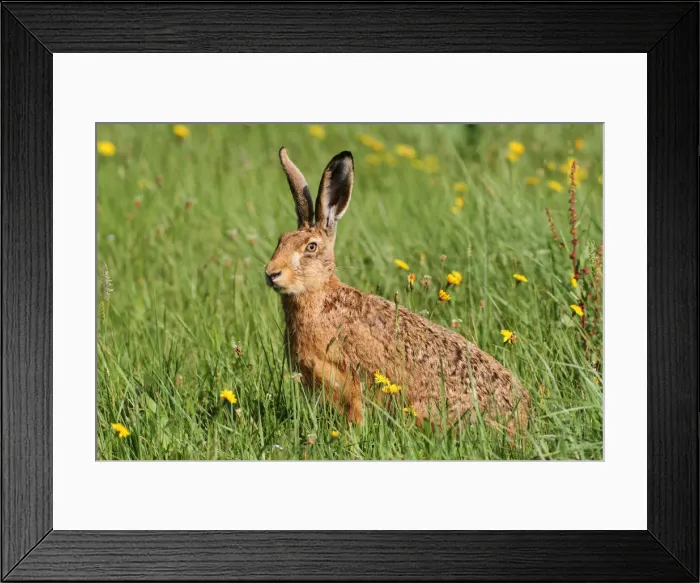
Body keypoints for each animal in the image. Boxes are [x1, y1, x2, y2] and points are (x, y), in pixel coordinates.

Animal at [265, 147, 529, 437]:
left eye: (311, 247)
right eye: (280, 240)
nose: (271, 273)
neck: (319, 293)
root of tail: (524, 421)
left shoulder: (346, 382)